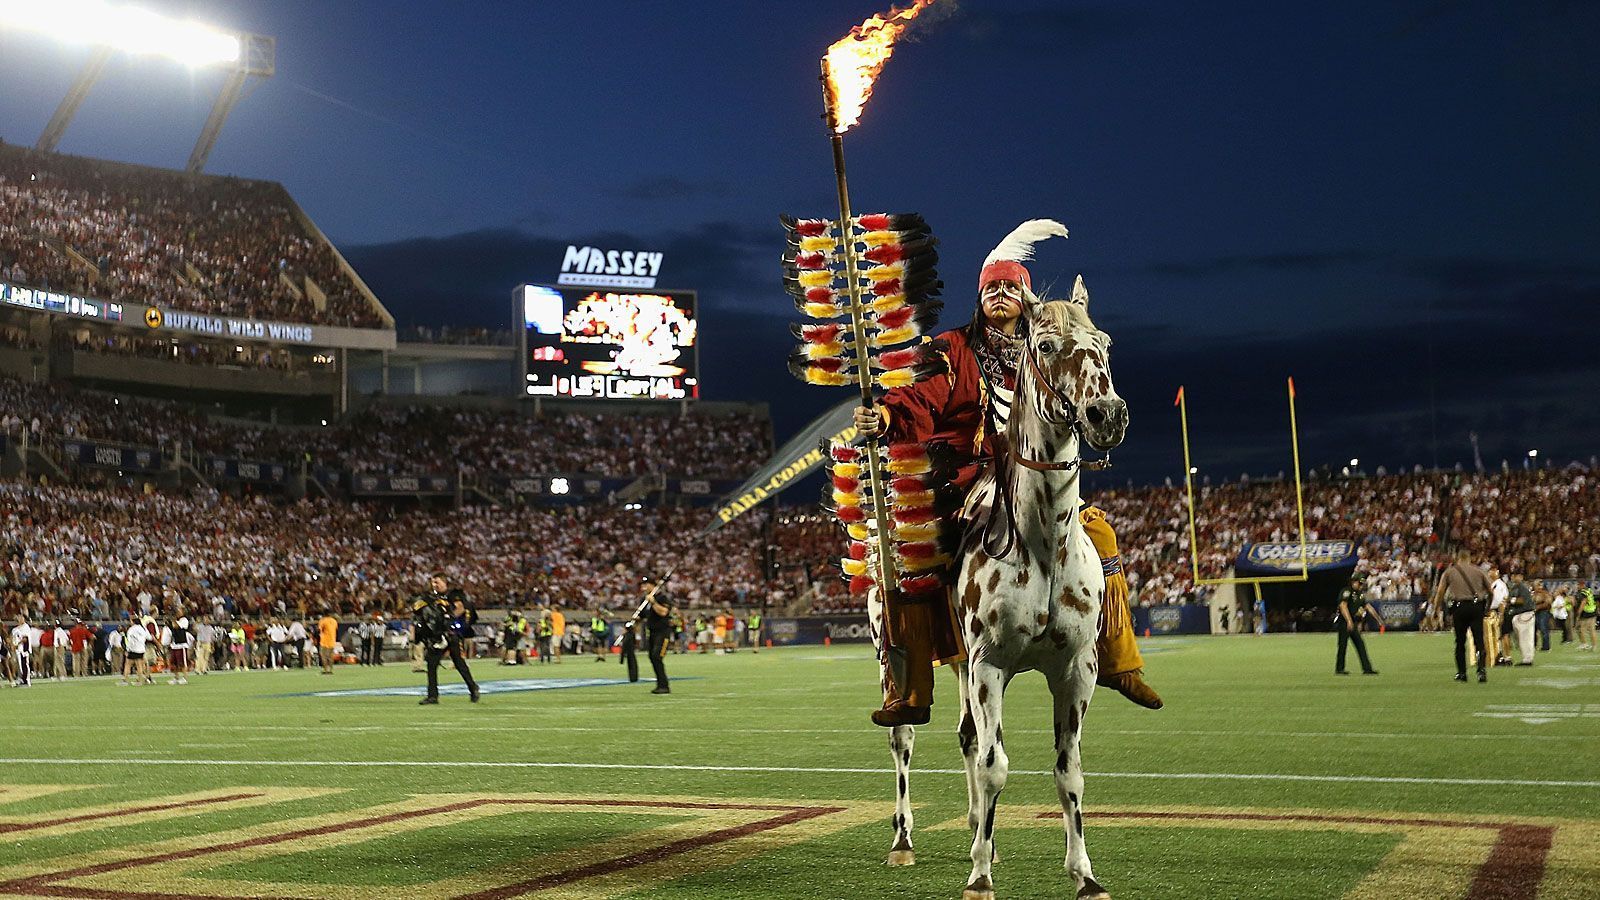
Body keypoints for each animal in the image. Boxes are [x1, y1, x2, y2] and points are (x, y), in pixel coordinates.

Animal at [876, 275, 1126, 896]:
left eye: (1104, 342)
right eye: (1045, 346)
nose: (1106, 414)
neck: (1042, 544)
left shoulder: (1074, 669)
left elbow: (1069, 772)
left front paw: (1084, 873)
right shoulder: (990, 663)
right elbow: (995, 767)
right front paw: (980, 878)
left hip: (960, 663)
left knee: (967, 735)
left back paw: (974, 831)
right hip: (903, 658)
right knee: (905, 738)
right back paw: (905, 839)